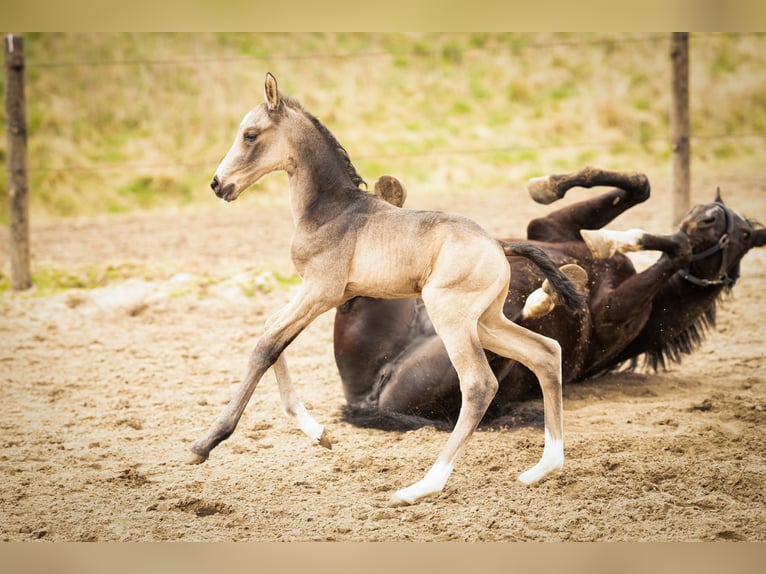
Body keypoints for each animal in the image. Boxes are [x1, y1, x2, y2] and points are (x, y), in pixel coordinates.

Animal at [190, 74, 584, 506]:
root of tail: (499, 244)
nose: (217, 184)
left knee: (480, 384)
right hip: (486, 321)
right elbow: (271, 335)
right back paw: (544, 468)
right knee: (546, 353)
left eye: (250, 134)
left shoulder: (322, 292)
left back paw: (423, 486)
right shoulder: (316, 293)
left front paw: (206, 443)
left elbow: (266, 345)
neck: (331, 212)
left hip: (451, 317)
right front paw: (320, 434)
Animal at [338, 166, 766, 428]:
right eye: (722, 208)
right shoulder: (550, 226)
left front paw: (618, 241)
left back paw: (546, 294)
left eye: (746, 235)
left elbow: (677, 247)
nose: (706, 215)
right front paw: (549, 188)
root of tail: (367, 396)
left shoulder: (612, 313)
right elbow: (640, 186)